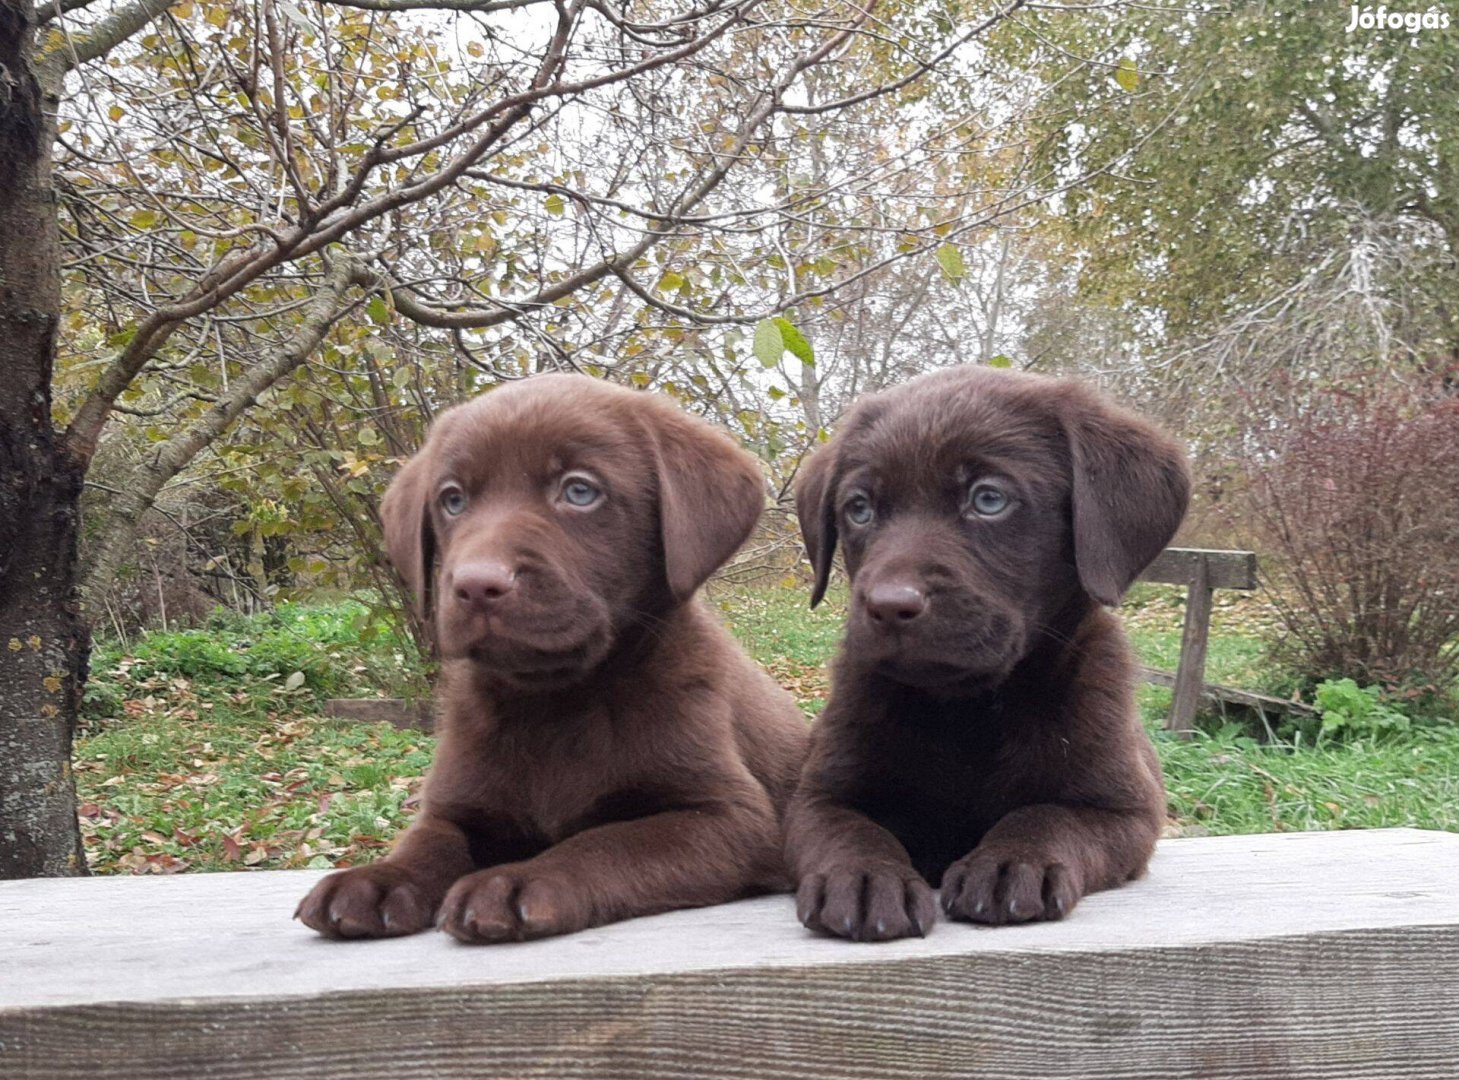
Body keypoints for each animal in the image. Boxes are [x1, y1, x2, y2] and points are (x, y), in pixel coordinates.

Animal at [290, 376, 805, 939]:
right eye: (452, 500)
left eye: (579, 491)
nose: (476, 584)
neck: (554, 703)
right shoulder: (455, 804)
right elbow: (427, 841)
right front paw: (376, 878)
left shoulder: (730, 815)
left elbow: (608, 842)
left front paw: (517, 881)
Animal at [787, 364, 1184, 934]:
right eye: (859, 509)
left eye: (988, 499)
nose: (888, 605)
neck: (966, 710)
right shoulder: (817, 796)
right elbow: (849, 829)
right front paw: (863, 878)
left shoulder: (1125, 808)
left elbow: (1046, 814)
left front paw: (1009, 863)